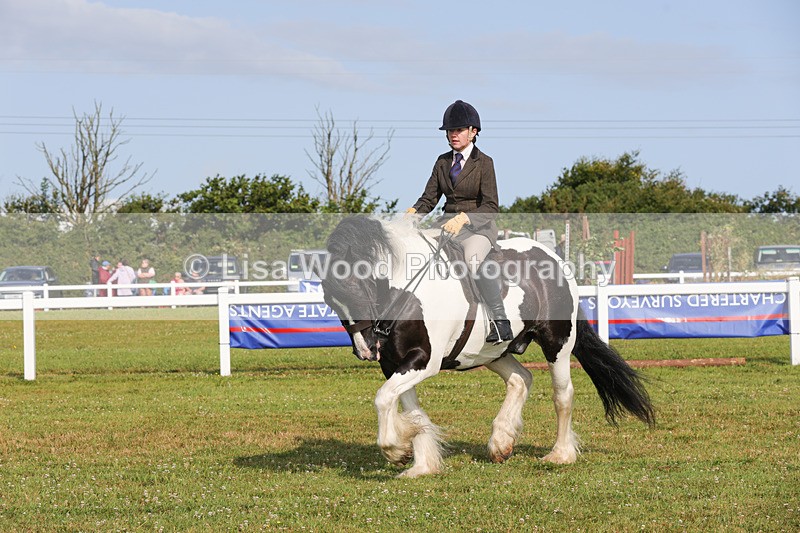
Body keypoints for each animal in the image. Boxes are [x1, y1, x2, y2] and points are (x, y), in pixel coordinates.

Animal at [320, 216, 654, 478]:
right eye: (330, 301)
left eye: (358, 290)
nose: (366, 350)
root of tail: (555, 259)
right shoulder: (395, 364)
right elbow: (405, 407)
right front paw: (421, 463)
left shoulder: (423, 360)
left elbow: (382, 398)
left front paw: (395, 450)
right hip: (493, 351)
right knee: (521, 379)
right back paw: (501, 442)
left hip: (557, 343)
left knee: (563, 395)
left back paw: (560, 454)